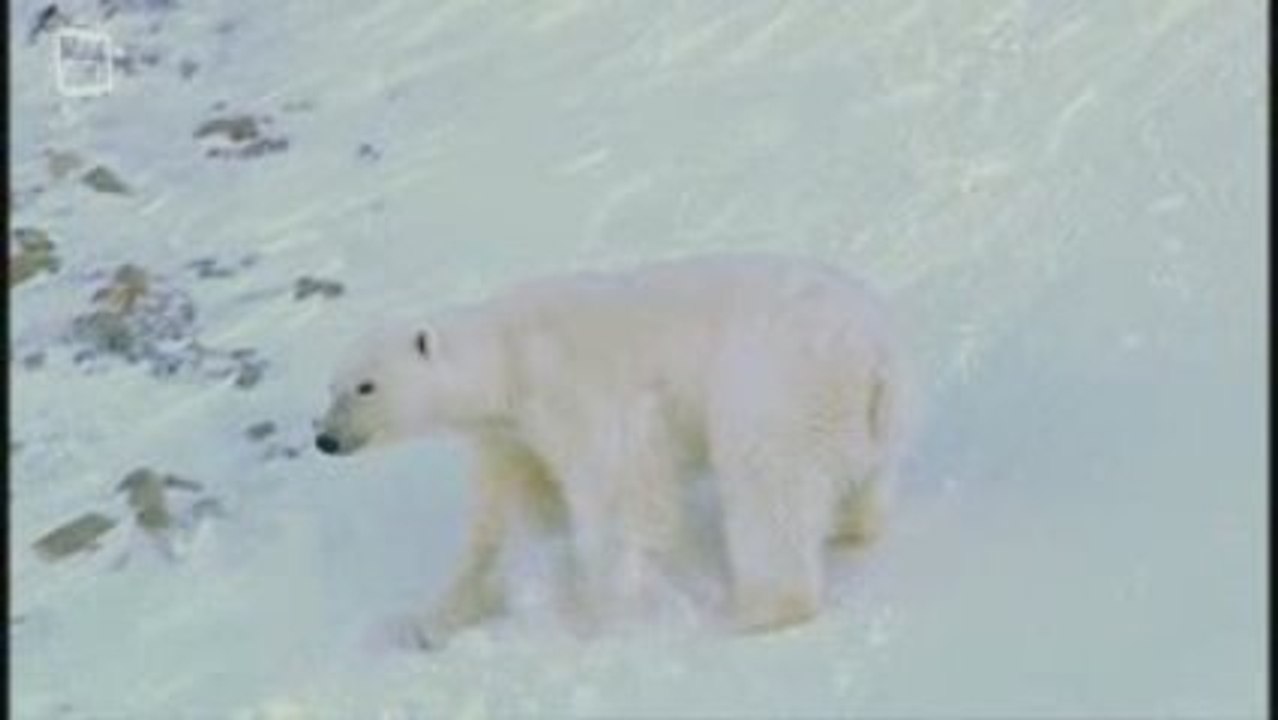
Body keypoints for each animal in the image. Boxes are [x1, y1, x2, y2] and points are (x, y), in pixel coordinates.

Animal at [314, 253, 907, 647]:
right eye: (331, 385)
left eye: (365, 386)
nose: (324, 438)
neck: (508, 358)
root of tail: (874, 352)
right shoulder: (511, 437)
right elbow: (502, 523)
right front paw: (430, 621)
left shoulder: (574, 391)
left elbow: (619, 494)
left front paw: (596, 615)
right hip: (875, 412)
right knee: (858, 481)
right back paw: (850, 527)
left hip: (775, 382)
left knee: (768, 484)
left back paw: (761, 608)